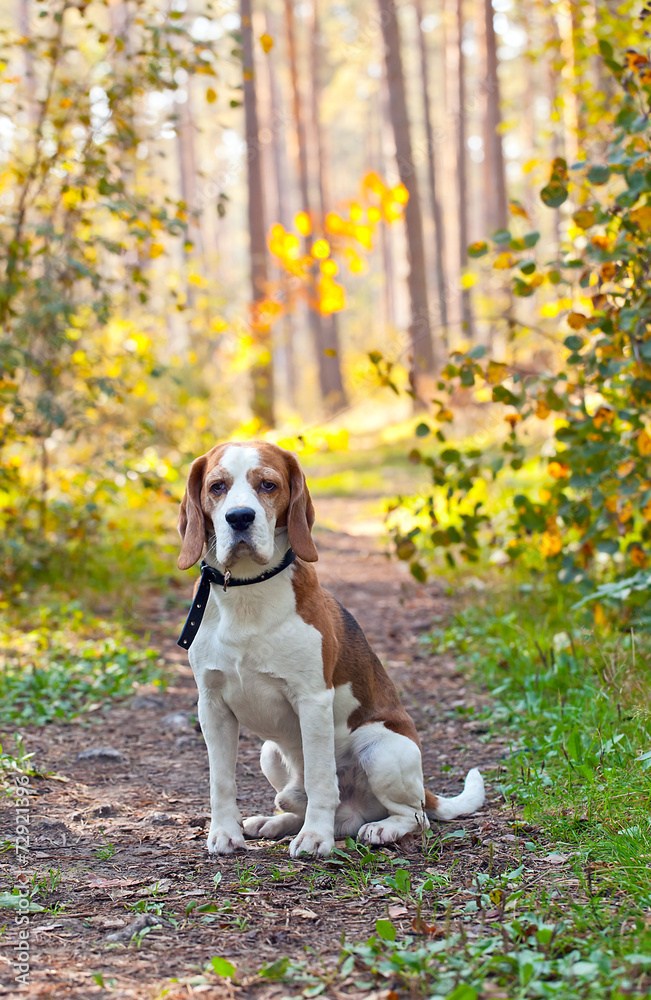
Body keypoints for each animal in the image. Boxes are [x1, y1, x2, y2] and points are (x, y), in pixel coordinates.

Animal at [177, 442, 484, 856]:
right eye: (217, 487)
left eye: (268, 485)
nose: (239, 518)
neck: (246, 590)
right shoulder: (211, 705)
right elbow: (221, 781)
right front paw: (225, 833)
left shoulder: (312, 700)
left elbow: (322, 779)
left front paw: (315, 839)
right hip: (270, 753)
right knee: (302, 803)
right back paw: (275, 822)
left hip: (381, 749)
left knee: (414, 816)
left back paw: (381, 828)